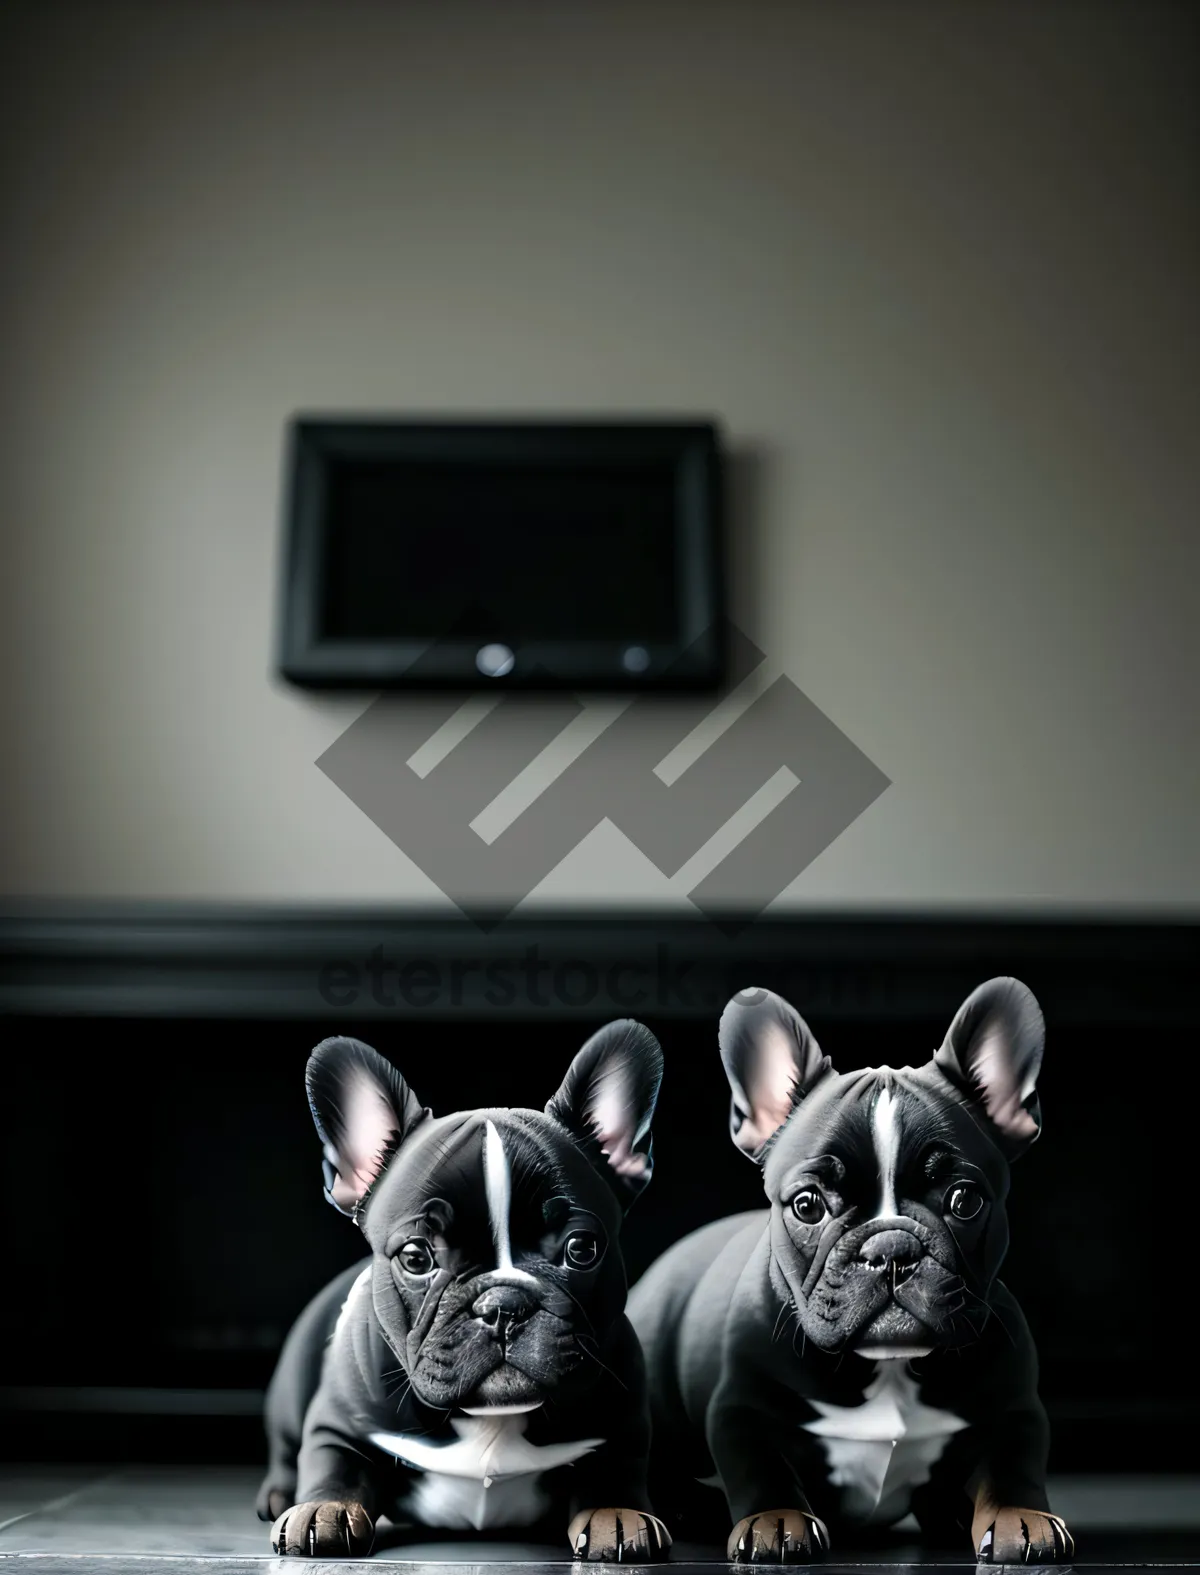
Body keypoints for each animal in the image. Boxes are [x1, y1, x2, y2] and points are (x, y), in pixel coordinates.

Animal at [258, 1020, 667, 1562]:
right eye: (416, 1258)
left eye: (581, 1249)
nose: (504, 1306)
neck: (490, 1418)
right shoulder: (338, 1420)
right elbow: (332, 1459)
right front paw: (323, 1508)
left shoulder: (623, 1419)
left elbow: (617, 1465)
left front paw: (616, 1513)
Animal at [626, 982, 1077, 1562]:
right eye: (807, 1205)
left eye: (964, 1200)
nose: (890, 1248)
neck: (887, 1366)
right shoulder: (740, 1408)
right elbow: (761, 1468)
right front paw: (777, 1521)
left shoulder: (1015, 1409)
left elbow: (1012, 1466)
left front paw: (1024, 1519)